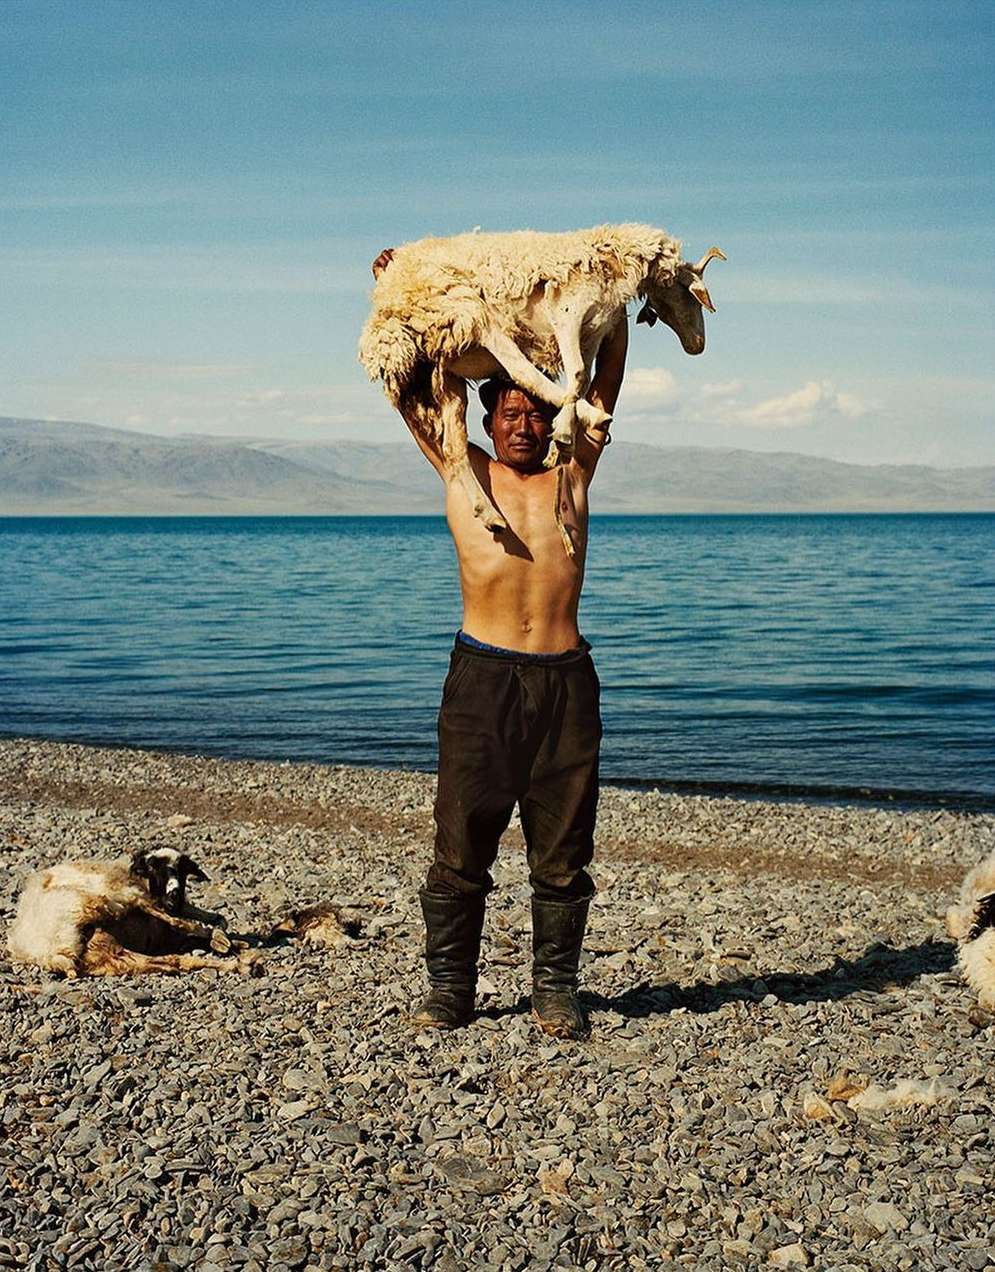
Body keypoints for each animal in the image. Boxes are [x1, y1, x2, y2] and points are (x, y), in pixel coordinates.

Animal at [7, 847, 255, 978]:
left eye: (183, 870)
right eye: (154, 867)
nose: (174, 894)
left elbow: (204, 920)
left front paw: (229, 940)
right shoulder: (138, 897)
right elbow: (188, 923)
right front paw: (220, 938)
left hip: (114, 957)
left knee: (172, 961)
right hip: (104, 902)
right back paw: (241, 962)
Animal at [358, 223, 724, 554]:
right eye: (690, 297)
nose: (698, 345)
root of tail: (384, 304)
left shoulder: (592, 331)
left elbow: (584, 380)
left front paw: (565, 435)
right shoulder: (566, 312)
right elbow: (577, 375)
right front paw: (563, 434)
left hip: (447, 367)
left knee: (453, 448)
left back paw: (490, 514)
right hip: (469, 311)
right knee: (521, 371)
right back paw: (593, 419)